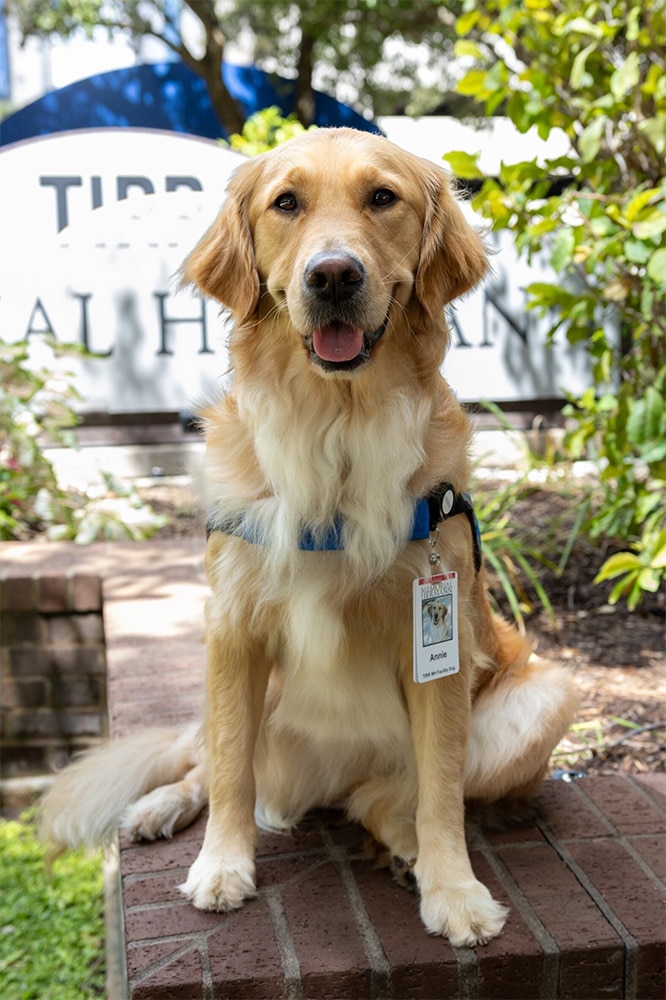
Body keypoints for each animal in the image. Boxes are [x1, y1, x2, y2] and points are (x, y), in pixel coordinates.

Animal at [40, 127, 576, 944]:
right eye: (285, 203)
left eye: (382, 197)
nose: (332, 275)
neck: (337, 421)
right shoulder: (231, 627)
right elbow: (231, 766)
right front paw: (222, 865)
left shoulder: (440, 649)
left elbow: (442, 786)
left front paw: (454, 888)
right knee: (208, 763)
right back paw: (162, 806)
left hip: (548, 693)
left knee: (387, 798)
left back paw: (403, 848)